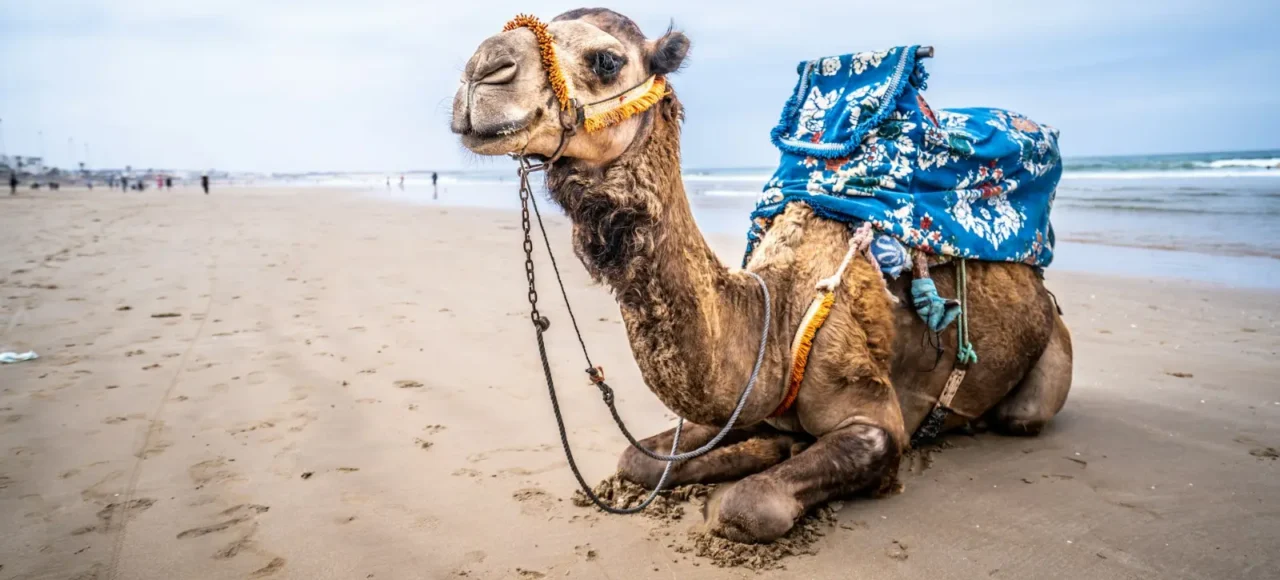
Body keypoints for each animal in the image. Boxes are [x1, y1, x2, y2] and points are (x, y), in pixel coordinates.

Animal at [451, 8, 1073, 544]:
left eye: (606, 60)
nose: (482, 67)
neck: (777, 315)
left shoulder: (874, 417)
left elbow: (748, 504)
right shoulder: (743, 403)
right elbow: (636, 459)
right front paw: (759, 451)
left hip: (1046, 359)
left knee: (1021, 415)